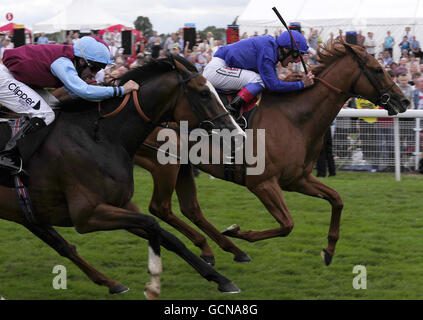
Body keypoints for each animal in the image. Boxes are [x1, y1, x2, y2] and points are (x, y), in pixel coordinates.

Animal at [0, 53, 245, 298]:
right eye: (204, 93)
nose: (238, 133)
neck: (101, 137)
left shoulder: (120, 204)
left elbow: (169, 237)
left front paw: (220, 278)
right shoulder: (87, 215)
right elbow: (152, 223)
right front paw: (154, 282)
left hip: (25, 214)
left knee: (63, 246)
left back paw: (111, 283)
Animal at [133, 40, 410, 268]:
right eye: (377, 69)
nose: (404, 101)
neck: (295, 118)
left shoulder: (297, 179)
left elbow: (337, 199)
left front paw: (329, 250)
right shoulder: (262, 183)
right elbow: (287, 224)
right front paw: (238, 231)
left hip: (182, 165)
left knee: (189, 209)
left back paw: (217, 250)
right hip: (164, 163)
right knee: (160, 207)